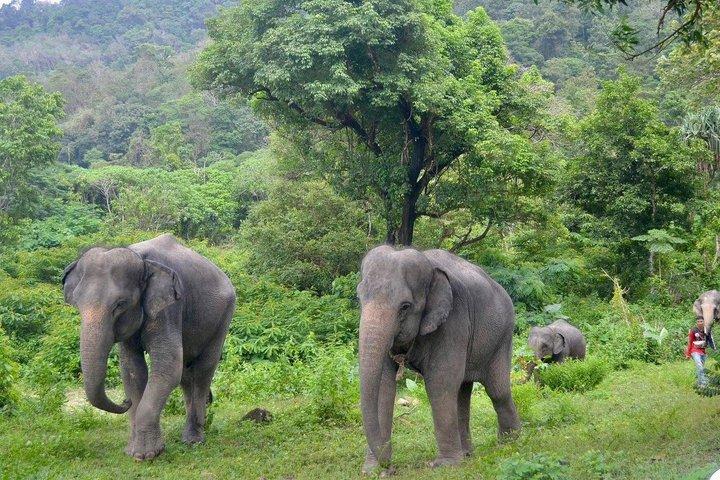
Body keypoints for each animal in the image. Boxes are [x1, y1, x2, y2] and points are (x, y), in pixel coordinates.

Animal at [62, 234, 236, 460]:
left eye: (120, 304)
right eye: (77, 303)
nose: (124, 401)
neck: (141, 260)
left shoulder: (170, 307)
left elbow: (167, 365)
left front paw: (146, 455)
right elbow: (132, 370)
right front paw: (133, 451)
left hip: (224, 315)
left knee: (203, 369)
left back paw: (194, 440)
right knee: (186, 374)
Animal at [357, 245, 520, 474]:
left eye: (405, 306)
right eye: (359, 298)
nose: (390, 467)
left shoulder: (453, 321)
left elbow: (440, 382)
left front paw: (445, 466)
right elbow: (383, 386)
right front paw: (371, 470)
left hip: (502, 336)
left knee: (498, 390)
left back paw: (510, 444)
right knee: (462, 391)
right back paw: (468, 454)